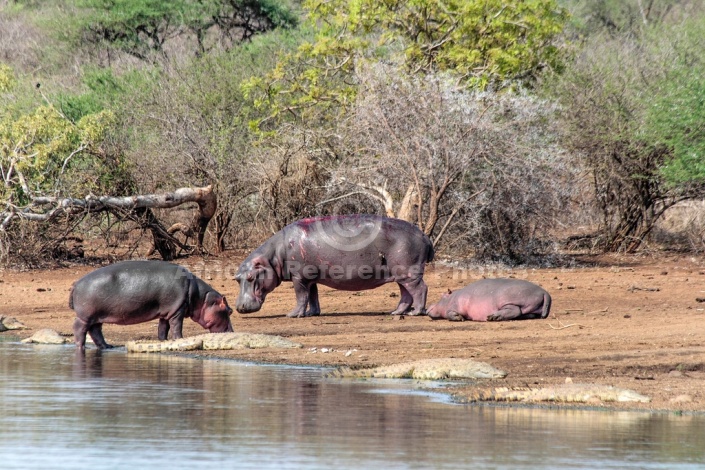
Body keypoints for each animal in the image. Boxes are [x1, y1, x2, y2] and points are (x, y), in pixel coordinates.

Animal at [70, 258, 234, 350]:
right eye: (229, 310)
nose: (232, 332)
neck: (202, 298)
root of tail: (76, 284)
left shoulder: (168, 311)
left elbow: (163, 328)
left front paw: (164, 341)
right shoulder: (177, 311)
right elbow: (176, 326)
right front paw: (179, 339)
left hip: (97, 316)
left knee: (96, 330)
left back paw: (107, 347)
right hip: (85, 316)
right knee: (80, 329)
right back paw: (81, 346)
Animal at [236, 215, 432, 318]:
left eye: (250, 277)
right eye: (237, 278)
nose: (239, 307)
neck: (273, 256)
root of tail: (424, 235)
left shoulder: (299, 278)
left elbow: (301, 296)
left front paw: (292, 314)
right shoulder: (310, 277)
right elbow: (313, 296)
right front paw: (312, 313)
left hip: (408, 272)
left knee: (420, 289)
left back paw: (416, 313)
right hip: (400, 274)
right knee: (405, 293)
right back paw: (395, 312)